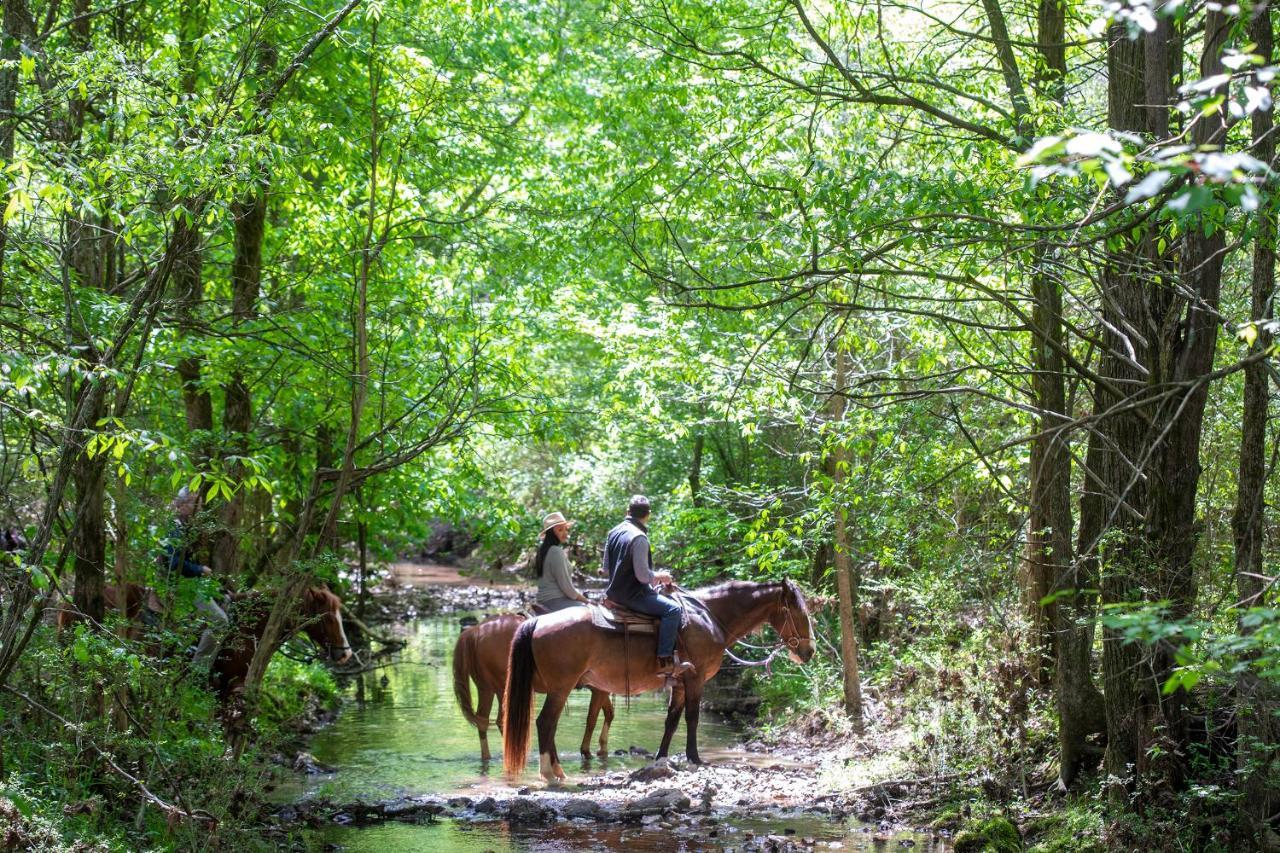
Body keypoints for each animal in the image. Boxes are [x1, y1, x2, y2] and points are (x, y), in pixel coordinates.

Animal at [450, 614, 614, 758]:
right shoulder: (600, 690)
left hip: (487, 689)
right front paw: (587, 751)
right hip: (503, 689)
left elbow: (609, 714)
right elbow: (592, 719)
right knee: (502, 721)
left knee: (483, 721)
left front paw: (602, 748)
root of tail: (475, 631)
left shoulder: (600, 690)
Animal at [504, 578, 814, 778]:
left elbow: (672, 721)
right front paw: (695, 758)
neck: (709, 617)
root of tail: (538, 622)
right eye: (799, 611)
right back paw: (551, 772)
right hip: (561, 687)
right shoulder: (696, 680)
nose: (809, 651)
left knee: (550, 725)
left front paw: (661, 758)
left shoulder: (678, 684)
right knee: (546, 723)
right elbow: (692, 718)